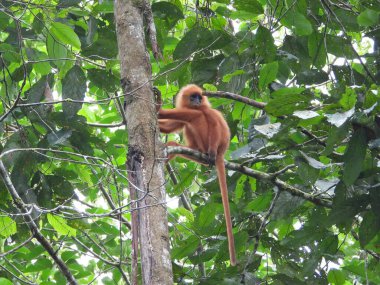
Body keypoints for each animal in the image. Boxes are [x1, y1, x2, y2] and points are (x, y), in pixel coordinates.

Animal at [156, 83, 236, 266]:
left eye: (199, 97)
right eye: (194, 97)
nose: (198, 101)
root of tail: (222, 153)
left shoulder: (207, 111)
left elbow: (213, 125)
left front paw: (158, 106)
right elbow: (170, 127)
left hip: (207, 141)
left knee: (196, 117)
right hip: (193, 150)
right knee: (176, 140)